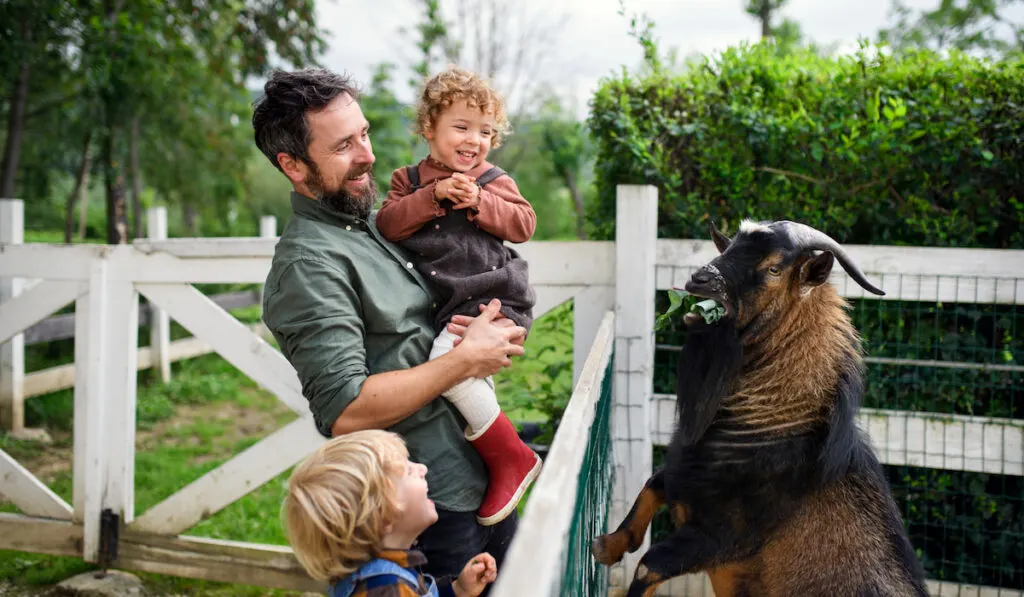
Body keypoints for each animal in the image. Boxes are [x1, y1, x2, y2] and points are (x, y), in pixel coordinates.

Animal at [593, 219, 929, 597]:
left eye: (774, 269)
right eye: (729, 247)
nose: (699, 279)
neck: (773, 425)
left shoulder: (720, 538)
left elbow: (649, 565)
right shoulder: (685, 485)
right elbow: (653, 485)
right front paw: (606, 546)